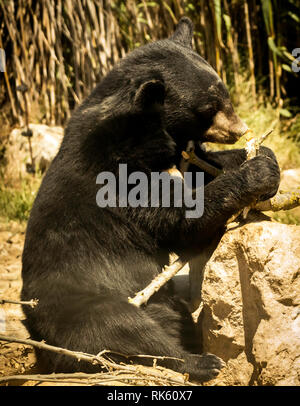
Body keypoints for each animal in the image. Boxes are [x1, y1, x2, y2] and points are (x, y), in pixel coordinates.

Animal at [21, 18, 282, 380]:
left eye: (225, 94)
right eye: (208, 108)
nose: (240, 129)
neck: (141, 131)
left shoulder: (174, 154)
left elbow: (202, 166)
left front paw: (262, 156)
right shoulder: (116, 174)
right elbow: (180, 219)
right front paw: (257, 171)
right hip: (83, 305)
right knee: (122, 329)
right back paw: (201, 361)